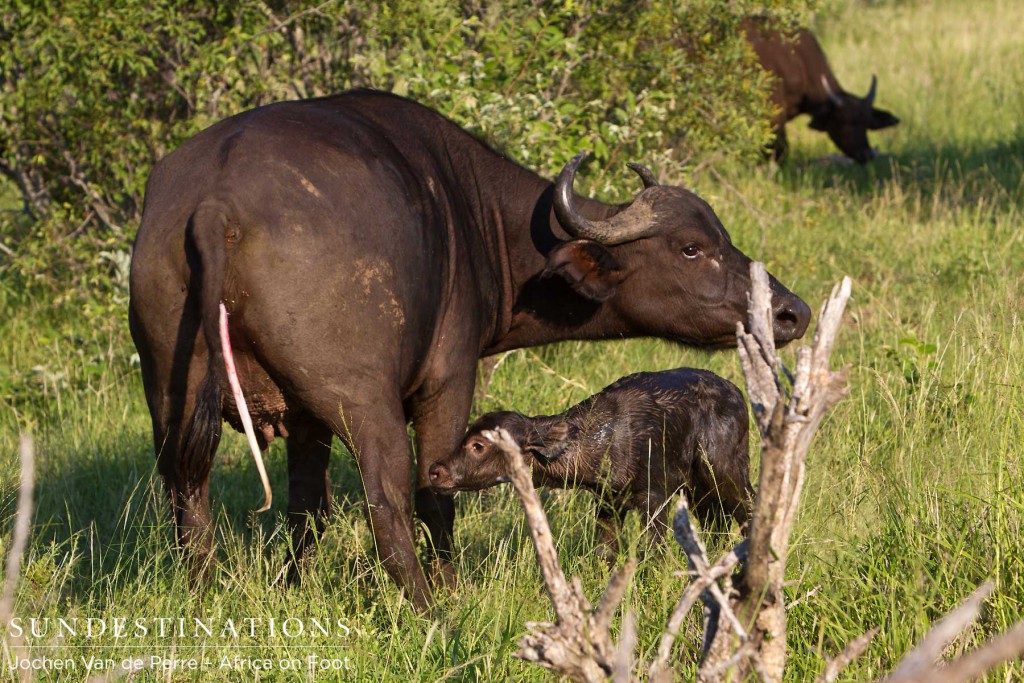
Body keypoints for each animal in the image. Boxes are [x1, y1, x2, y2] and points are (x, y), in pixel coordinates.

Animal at [425, 370, 753, 565]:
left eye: (478, 445)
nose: (435, 471)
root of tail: (740, 398)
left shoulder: (655, 498)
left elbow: (653, 554)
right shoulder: (607, 502)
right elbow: (605, 552)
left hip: (727, 473)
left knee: (747, 508)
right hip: (698, 490)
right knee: (716, 523)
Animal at [741, 21, 901, 162]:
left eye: (866, 122)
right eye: (846, 122)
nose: (866, 154)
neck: (799, 60)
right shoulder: (775, 115)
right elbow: (778, 151)